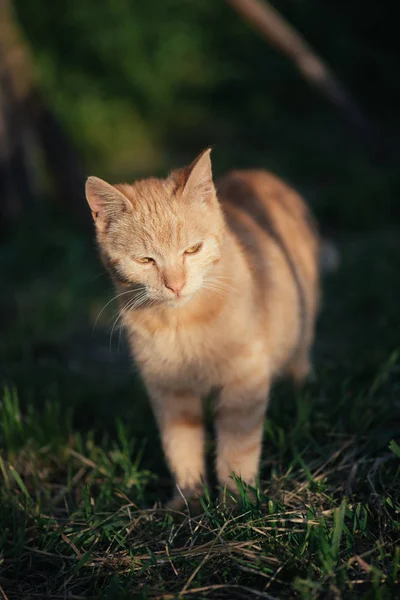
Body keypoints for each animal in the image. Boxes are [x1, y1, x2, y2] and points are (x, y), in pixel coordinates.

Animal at [86, 149, 320, 506]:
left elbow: (238, 447)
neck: (181, 325)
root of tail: (260, 173)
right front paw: (188, 499)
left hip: (301, 325)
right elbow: (180, 446)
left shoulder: (244, 381)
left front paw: (237, 501)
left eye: (192, 249)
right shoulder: (169, 389)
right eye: (145, 260)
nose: (175, 285)